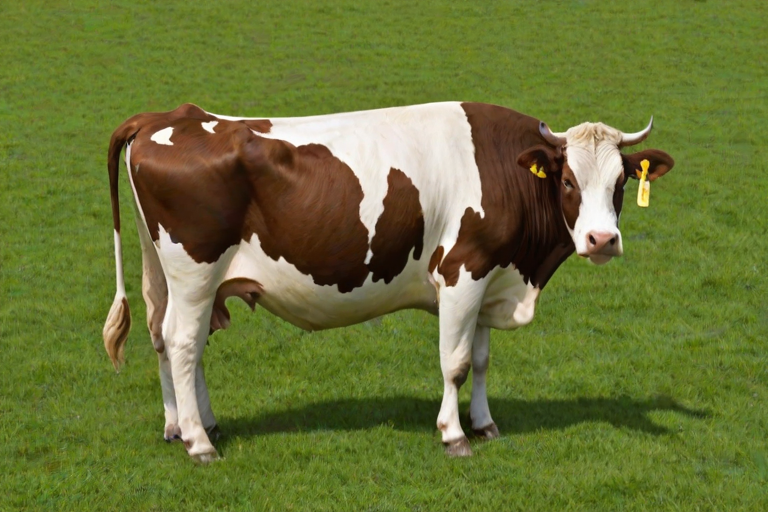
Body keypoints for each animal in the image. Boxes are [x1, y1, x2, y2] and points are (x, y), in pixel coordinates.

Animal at [103, 102, 674, 463]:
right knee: (182, 342)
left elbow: (482, 359)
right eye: (569, 181)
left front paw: (485, 424)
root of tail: (169, 116)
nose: (602, 240)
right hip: (195, 271)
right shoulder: (462, 271)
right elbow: (455, 363)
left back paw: (184, 426)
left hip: (168, 273)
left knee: (168, 338)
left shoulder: (489, 277)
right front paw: (454, 435)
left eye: (620, 182)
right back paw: (200, 443)